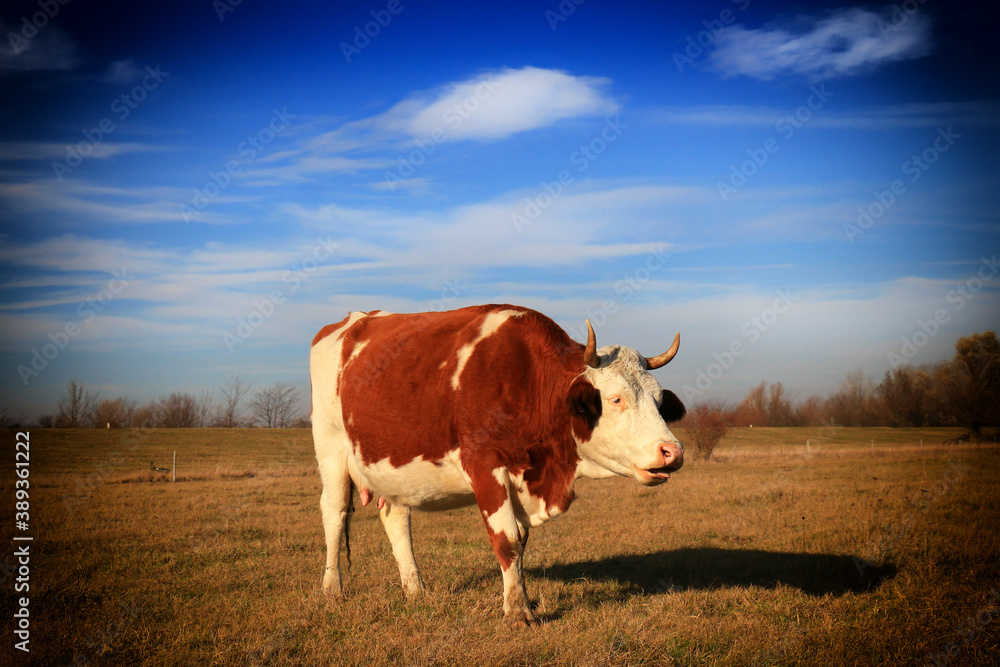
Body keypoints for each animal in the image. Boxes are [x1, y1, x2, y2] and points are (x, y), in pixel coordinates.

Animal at [310, 304, 688, 628]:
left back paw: (416, 591)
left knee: (396, 518)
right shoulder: (485, 465)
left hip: (394, 468)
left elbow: (520, 542)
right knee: (333, 512)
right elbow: (507, 541)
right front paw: (518, 612)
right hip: (330, 446)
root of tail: (351, 320)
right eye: (616, 399)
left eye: (658, 401)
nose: (672, 451)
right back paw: (332, 590)